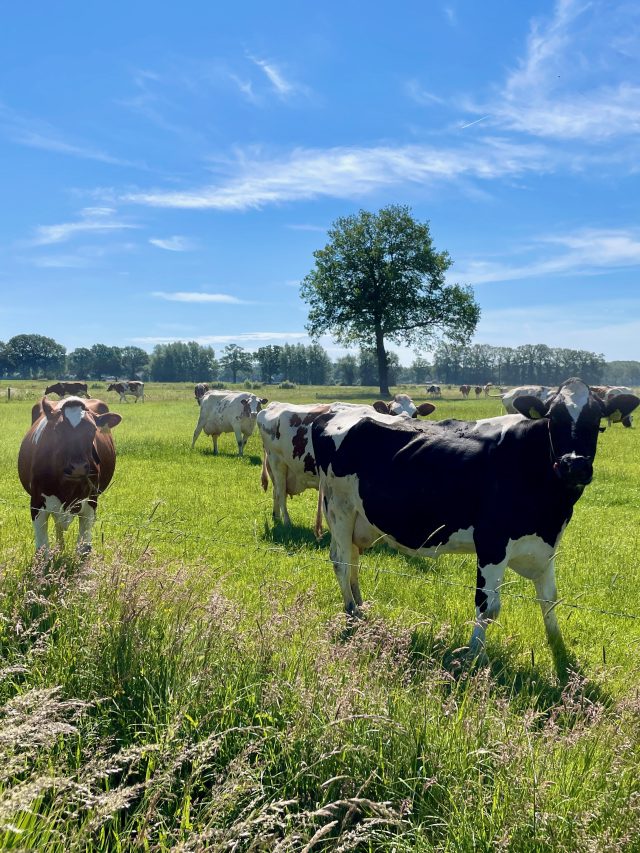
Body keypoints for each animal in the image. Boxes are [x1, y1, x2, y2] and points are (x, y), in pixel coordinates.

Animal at [18, 397, 122, 556]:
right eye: (58, 429)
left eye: (92, 430)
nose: (78, 467)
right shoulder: (36, 503)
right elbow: (42, 550)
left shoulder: (91, 502)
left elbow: (84, 549)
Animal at [311, 378, 639, 670]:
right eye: (552, 420)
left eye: (598, 423)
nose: (575, 465)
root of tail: (331, 413)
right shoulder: (492, 542)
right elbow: (488, 606)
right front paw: (474, 656)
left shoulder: (546, 545)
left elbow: (550, 600)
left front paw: (560, 654)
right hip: (339, 508)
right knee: (341, 561)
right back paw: (352, 613)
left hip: (358, 519)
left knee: (353, 560)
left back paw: (360, 606)